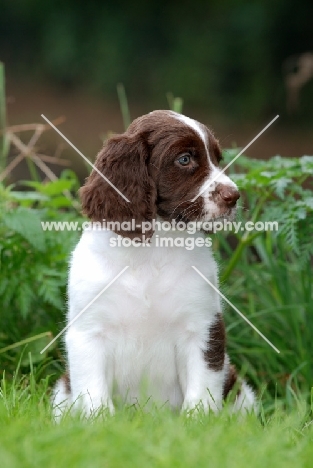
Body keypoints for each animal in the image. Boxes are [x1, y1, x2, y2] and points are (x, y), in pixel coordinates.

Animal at [52, 110, 255, 416]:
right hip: (62, 391)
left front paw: (198, 423)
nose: (233, 196)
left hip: (241, 393)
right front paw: (99, 423)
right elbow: (93, 393)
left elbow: (202, 391)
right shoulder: (88, 331)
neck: (154, 249)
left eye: (217, 159)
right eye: (184, 159)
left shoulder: (203, 327)